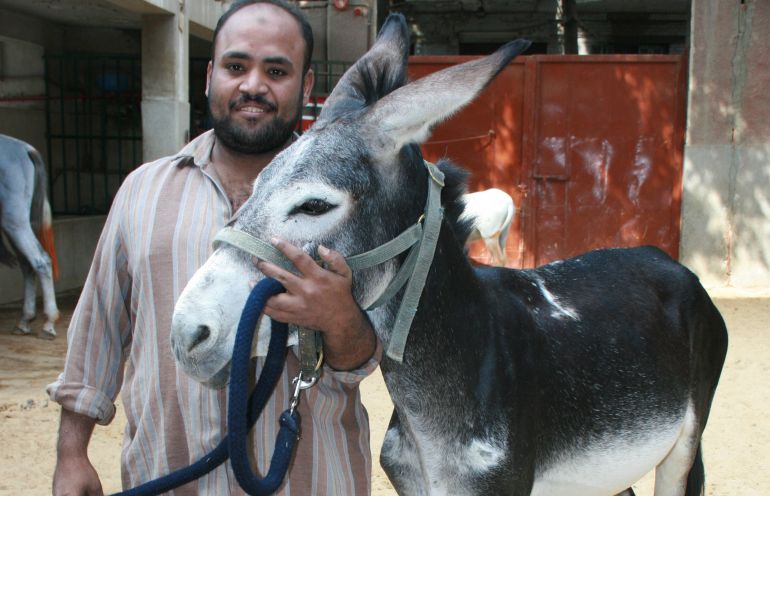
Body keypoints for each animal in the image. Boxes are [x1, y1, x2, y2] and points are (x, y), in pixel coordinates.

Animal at [0, 134, 60, 339]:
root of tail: (24, 148)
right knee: (27, 265)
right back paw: (25, 320)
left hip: (15, 221)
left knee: (40, 261)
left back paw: (49, 323)